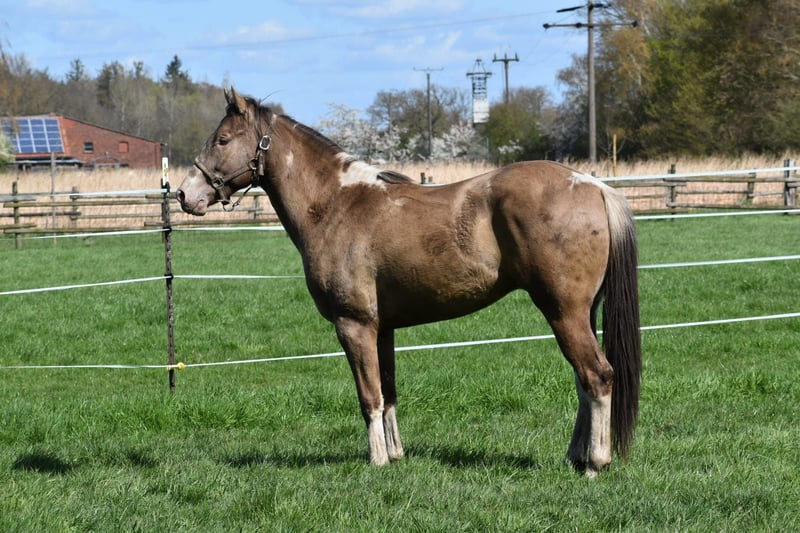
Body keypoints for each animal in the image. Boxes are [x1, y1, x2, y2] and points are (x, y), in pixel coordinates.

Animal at [176, 87, 641, 476]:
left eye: (223, 140)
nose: (184, 195)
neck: (337, 206)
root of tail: (594, 186)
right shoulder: (382, 329)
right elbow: (389, 391)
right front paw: (396, 454)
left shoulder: (354, 325)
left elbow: (369, 396)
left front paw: (377, 460)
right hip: (580, 313)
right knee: (582, 381)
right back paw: (575, 456)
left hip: (563, 312)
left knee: (598, 376)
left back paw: (595, 463)